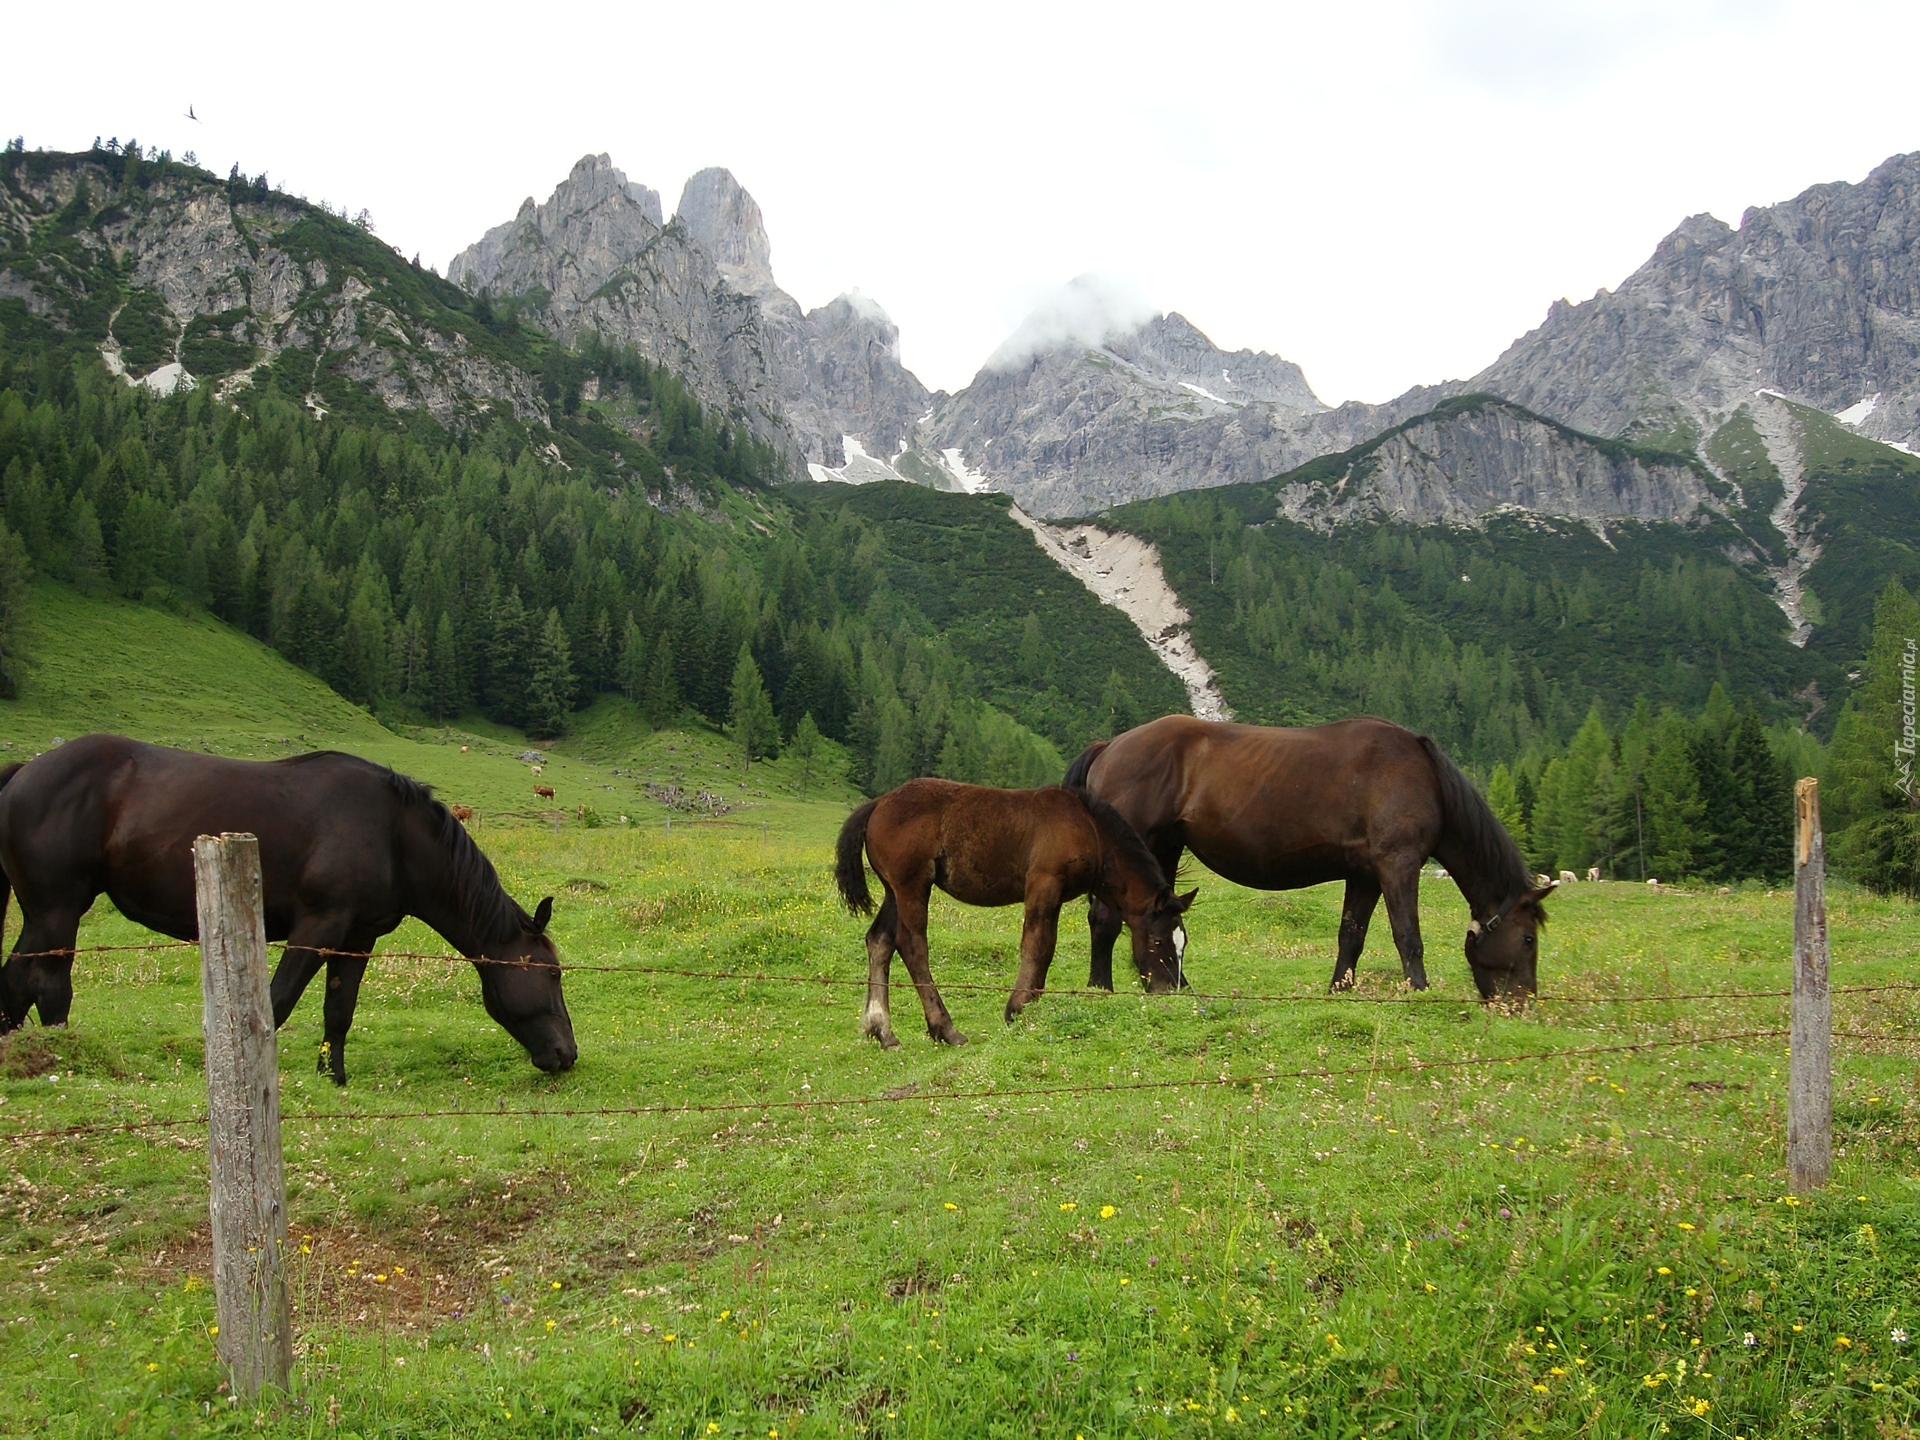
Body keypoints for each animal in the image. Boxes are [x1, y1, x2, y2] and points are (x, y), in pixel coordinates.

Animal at [0, 737, 576, 1090]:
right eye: (551, 974)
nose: (567, 1054)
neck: (391, 833)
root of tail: (25, 771)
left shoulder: (356, 939)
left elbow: (338, 1012)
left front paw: (334, 1079)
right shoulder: (316, 928)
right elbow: (274, 1005)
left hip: (42, 916)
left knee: (17, 982)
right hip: (57, 911)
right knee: (47, 987)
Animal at [833, 779, 1190, 1052]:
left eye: (1183, 943)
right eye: (1159, 941)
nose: (1170, 988)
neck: (1089, 828)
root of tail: (878, 804)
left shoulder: (1054, 896)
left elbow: (1045, 948)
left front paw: (1030, 1007)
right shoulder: (1044, 883)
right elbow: (1037, 945)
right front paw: (1016, 1009)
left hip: (893, 890)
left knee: (879, 940)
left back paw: (883, 1032)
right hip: (912, 886)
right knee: (911, 945)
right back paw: (945, 1029)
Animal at [1075, 718, 1551, 1006]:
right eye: (1528, 939)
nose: (1524, 1001)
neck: (1424, 776)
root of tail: (1110, 745)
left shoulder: (1365, 876)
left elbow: (1351, 936)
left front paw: (1339, 989)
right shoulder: (1398, 865)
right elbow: (1407, 935)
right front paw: (1418, 990)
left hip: (1165, 848)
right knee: (1105, 918)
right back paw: (1101, 987)